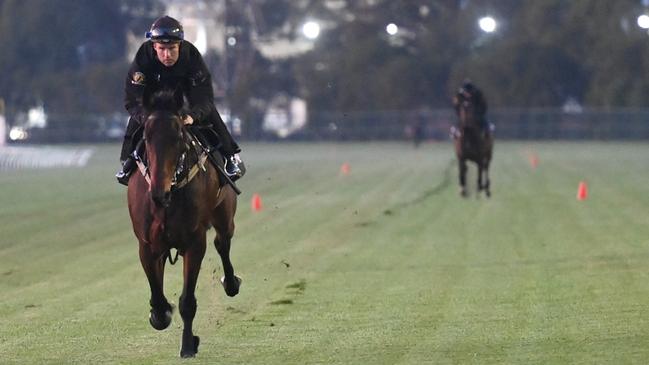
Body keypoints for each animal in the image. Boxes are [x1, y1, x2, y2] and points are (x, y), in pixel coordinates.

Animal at [126, 88, 240, 356]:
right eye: (146, 135)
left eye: (179, 135)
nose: (159, 192)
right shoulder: (147, 244)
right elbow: (157, 296)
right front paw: (160, 313)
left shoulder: (194, 242)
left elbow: (187, 301)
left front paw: (188, 345)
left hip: (224, 214)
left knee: (223, 243)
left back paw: (231, 283)